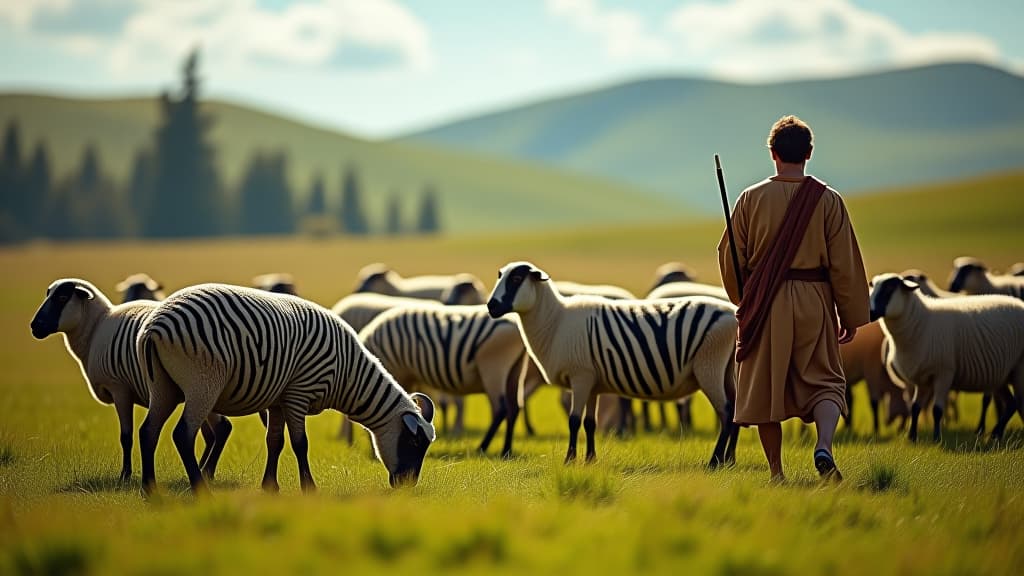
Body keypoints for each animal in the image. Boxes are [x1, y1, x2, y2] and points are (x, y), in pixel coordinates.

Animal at [30, 278, 235, 479]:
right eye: (49, 295)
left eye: (62, 297)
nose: (34, 326)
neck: (96, 329)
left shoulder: (119, 389)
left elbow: (126, 436)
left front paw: (125, 475)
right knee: (215, 431)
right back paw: (203, 471)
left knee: (220, 429)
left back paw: (204, 473)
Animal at [137, 282, 436, 494]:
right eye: (414, 443)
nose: (408, 486)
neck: (347, 372)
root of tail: (156, 323)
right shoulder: (297, 394)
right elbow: (300, 443)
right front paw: (309, 488)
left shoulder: (278, 401)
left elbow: (275, 442)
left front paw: (270, 487)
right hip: (203, 385)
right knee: (182, 435)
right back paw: (200, 491)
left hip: (163, 387)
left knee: (148, 431)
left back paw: (150, 490)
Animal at [485, 262, 737, 463]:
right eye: (500, 277)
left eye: (516, 279)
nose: (491, 307)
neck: (556, 323)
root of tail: (732, 314)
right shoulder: (592, 382)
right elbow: (590, 422)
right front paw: (590, 460)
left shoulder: (580, 376)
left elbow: (574, 421)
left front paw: (569, 460)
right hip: (727, 371)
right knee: (734, 411)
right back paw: (729, 461)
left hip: (709, 366)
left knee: (725, 412)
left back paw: (714, 461)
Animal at [872, 272, 1024, 438]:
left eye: (889, 289)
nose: (870, 313)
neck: (922, 322)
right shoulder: (922, 378)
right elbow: (915, 407)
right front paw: (911, 437)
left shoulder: (944, 373)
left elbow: (937, 410)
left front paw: (936, 438)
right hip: (1001, 375)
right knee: (1012, 403)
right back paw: (995, 434)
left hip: (1018, 370)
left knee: (1017, 402)